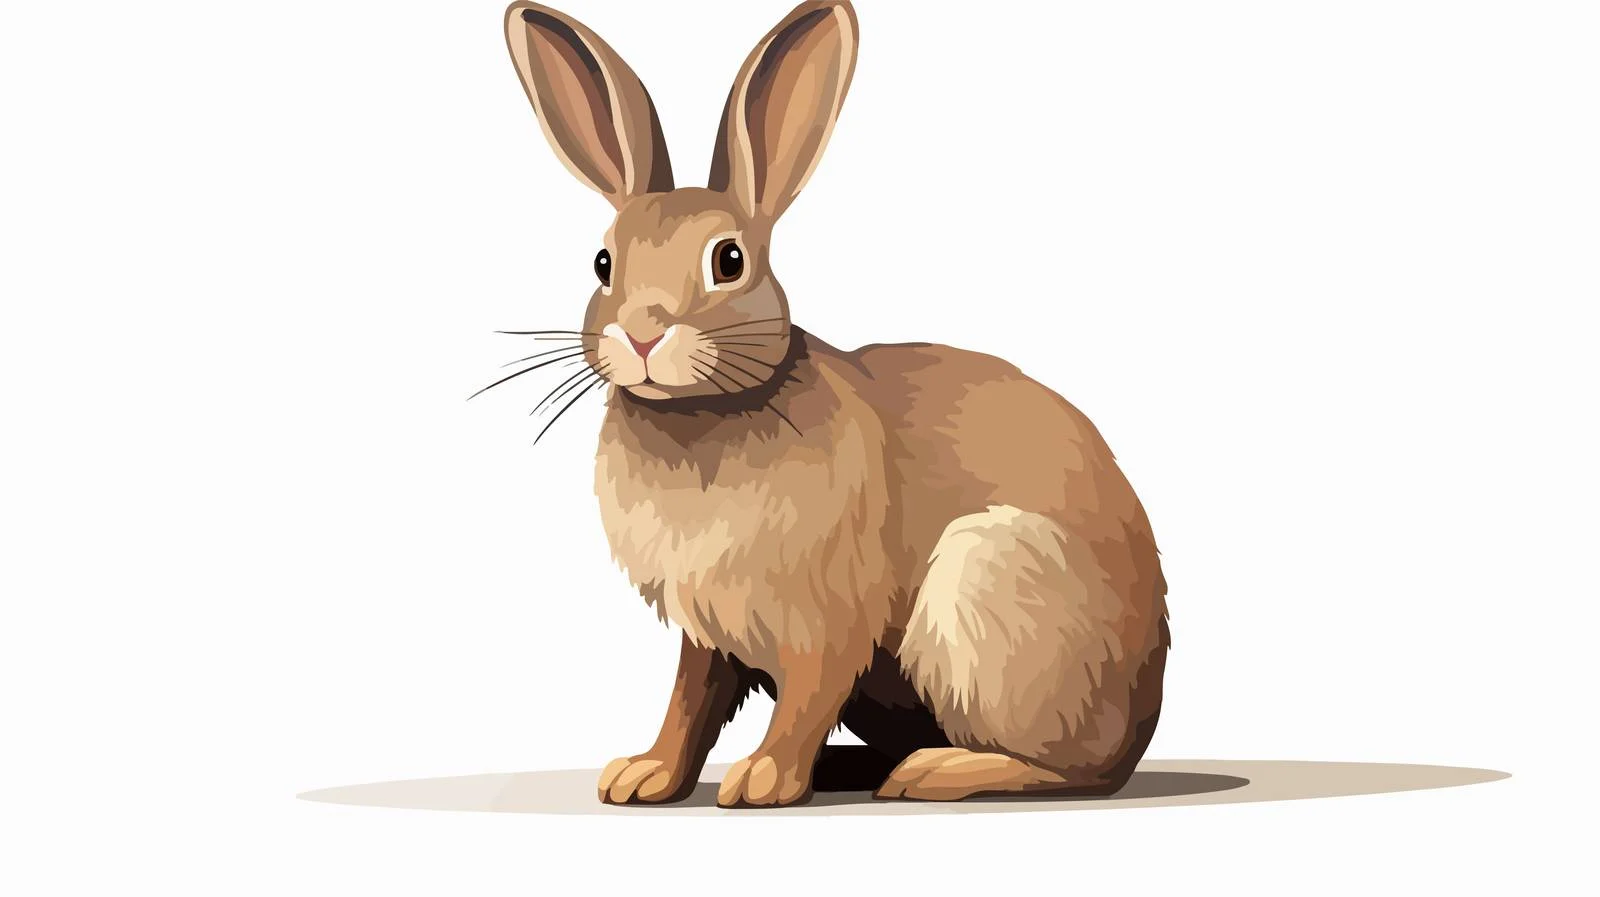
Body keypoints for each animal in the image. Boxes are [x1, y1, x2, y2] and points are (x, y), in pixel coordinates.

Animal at [501, 0, 1168, 807]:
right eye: (602, 263)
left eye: (729, 260)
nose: (643, 333)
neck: (705, 416)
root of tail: (1142, 717)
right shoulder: (704, 631)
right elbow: (689, 701)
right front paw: (643, 775)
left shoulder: (827, 616)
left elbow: (806, 696)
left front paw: (761, 781)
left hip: (988, 586)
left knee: (1064, 770)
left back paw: (932, 771)